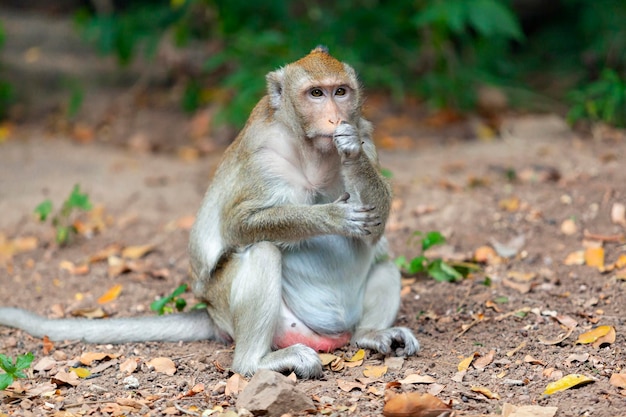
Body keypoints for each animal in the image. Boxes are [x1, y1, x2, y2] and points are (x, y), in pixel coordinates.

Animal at [1, 47, 420, 378]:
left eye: (340, 92)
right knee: (262, 251)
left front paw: (350, 151)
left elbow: (374, 226)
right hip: (232, 308)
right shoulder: (262, 156)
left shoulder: (367, 134)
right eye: (316, 94)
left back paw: (370, 335)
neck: (310, 149)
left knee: (385, 262)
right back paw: (256, 362)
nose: (335, 118)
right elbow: (238, 225)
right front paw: (332, 217)